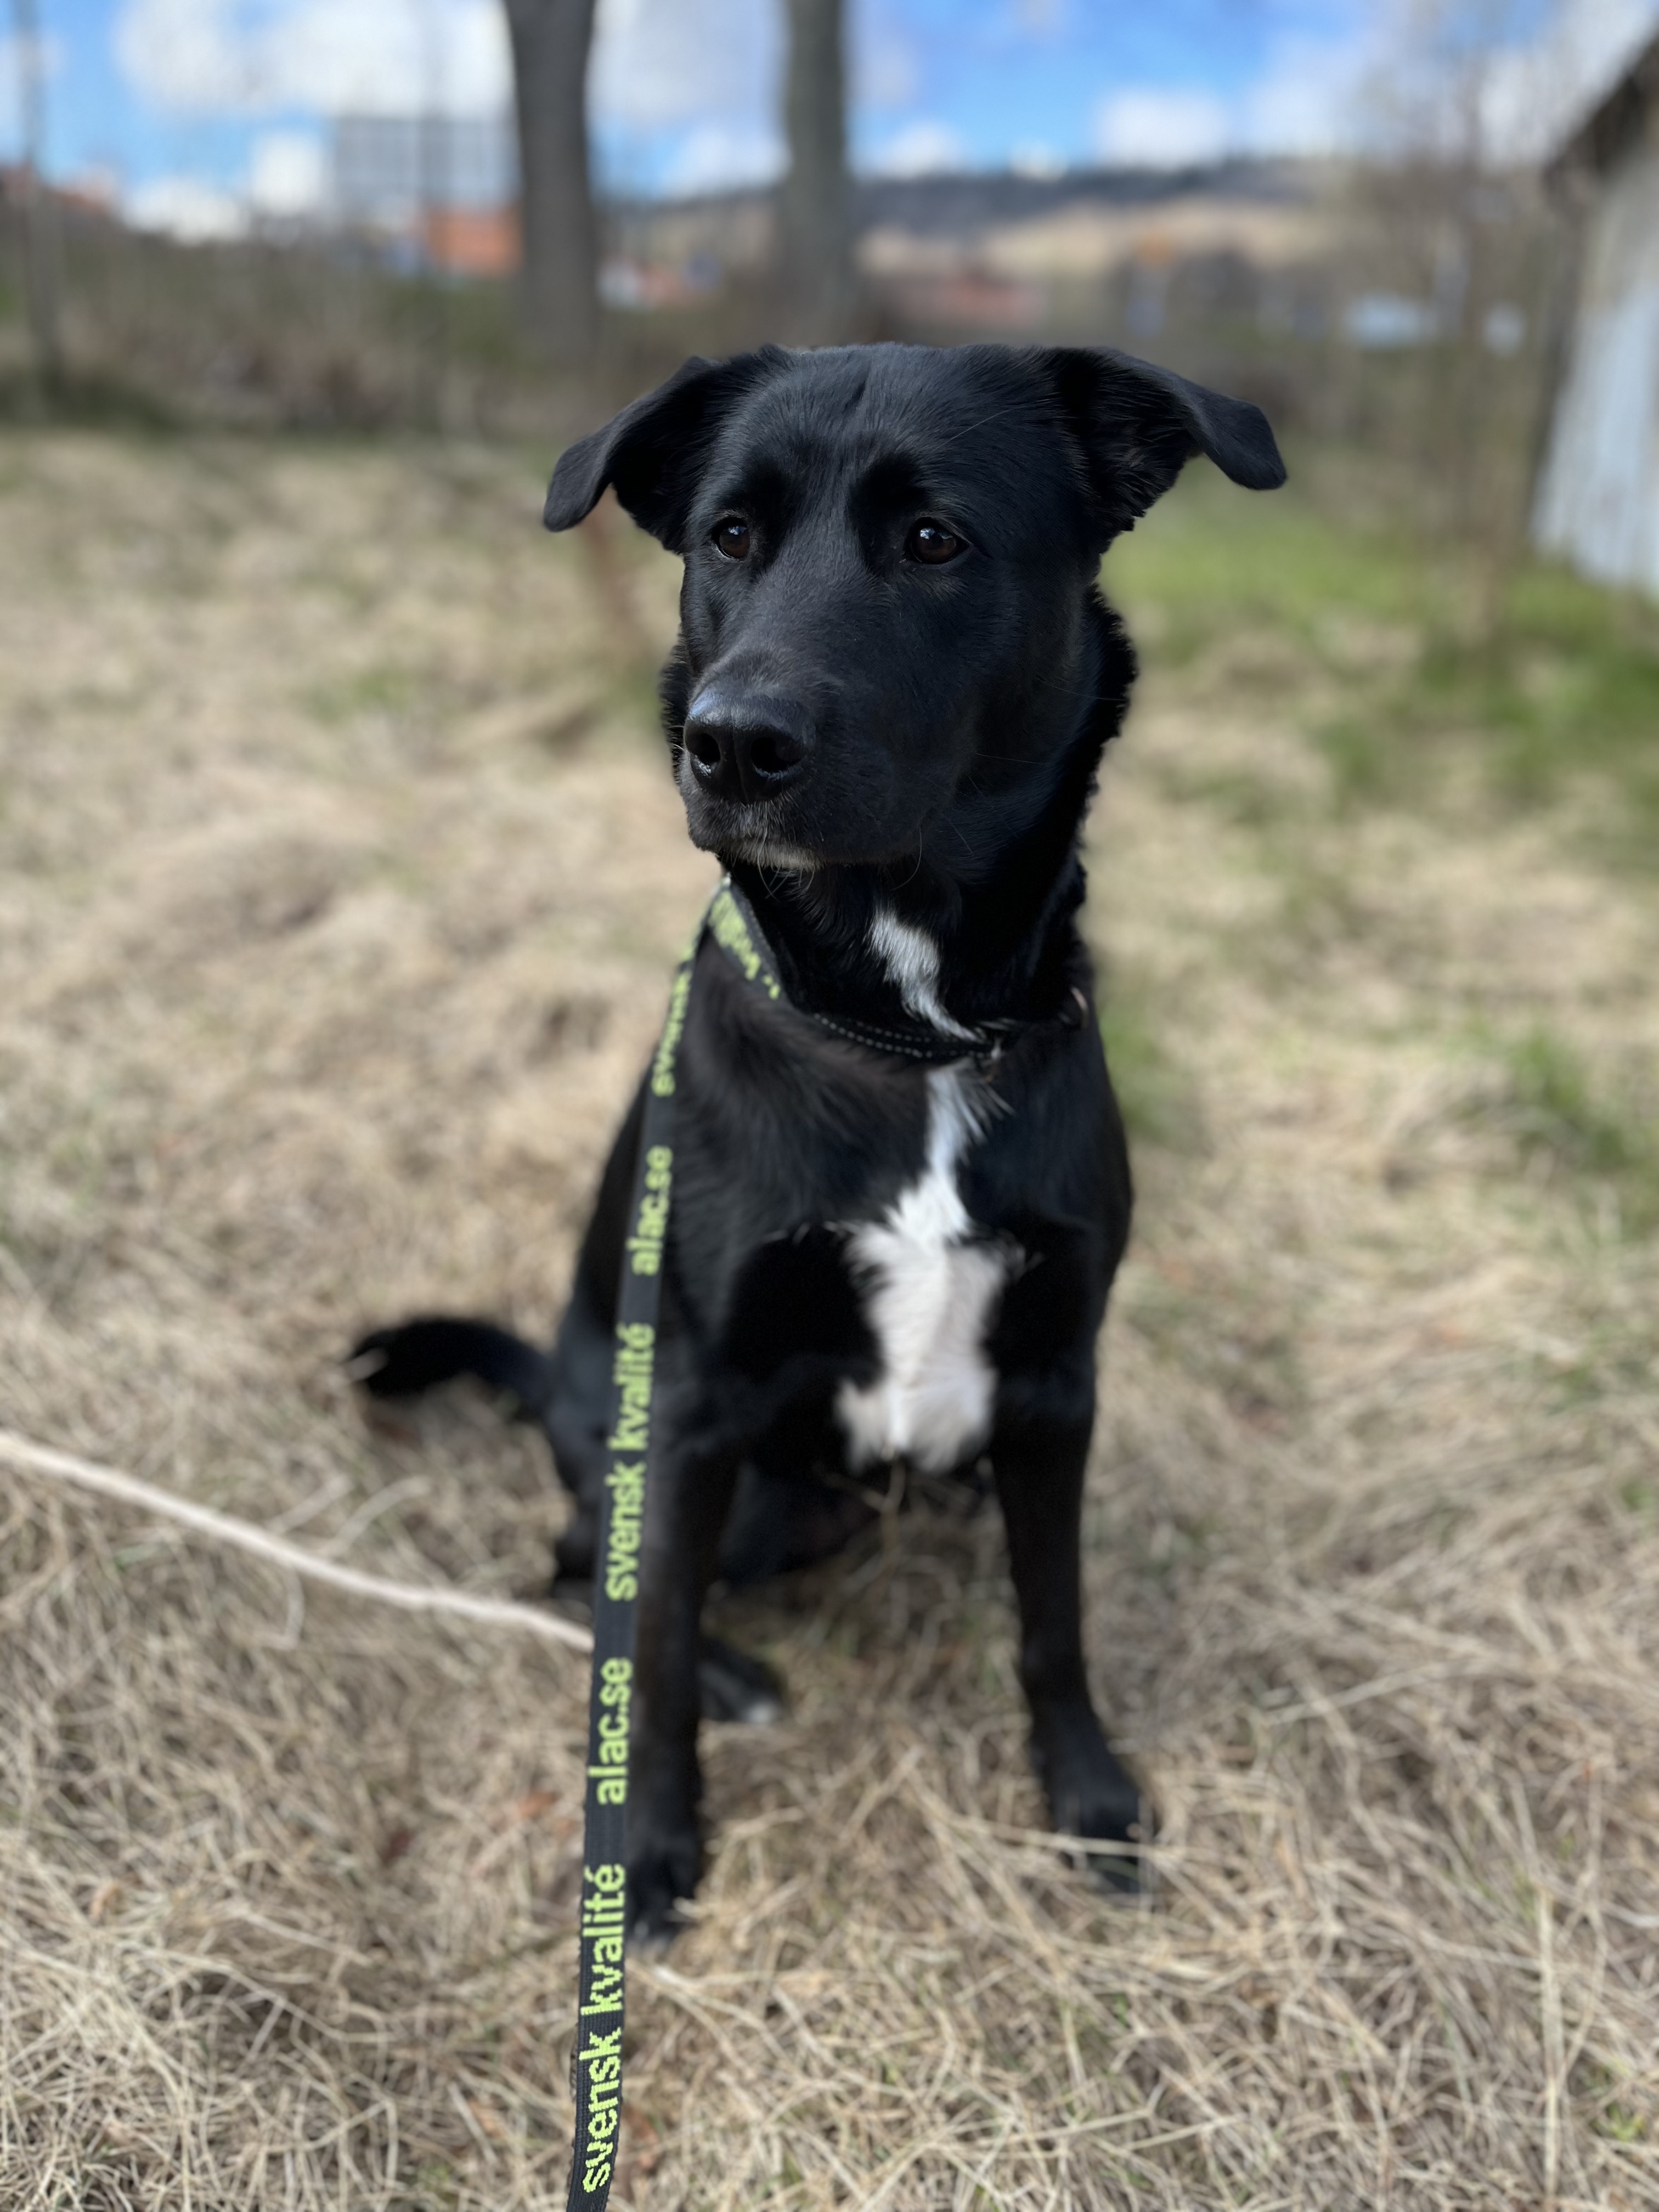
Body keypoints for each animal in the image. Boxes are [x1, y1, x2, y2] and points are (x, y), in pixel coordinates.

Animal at [354, 336, 1283, 1928]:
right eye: (730, 535)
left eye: (935, 541)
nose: (732, 745)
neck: (908, 1036)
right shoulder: (693, 1408)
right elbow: (651, 1642)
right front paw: (648, 1839)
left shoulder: (1056, 1387)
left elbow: (1056, 1620)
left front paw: (1088, 1797)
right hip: (711, 1478)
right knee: (576, 1566)